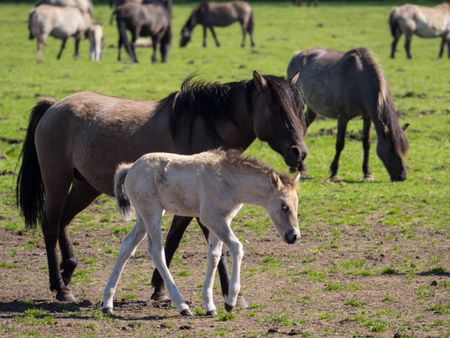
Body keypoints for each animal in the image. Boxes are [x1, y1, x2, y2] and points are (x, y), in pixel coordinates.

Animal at [101, 149, 298, 316]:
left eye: (297, 205)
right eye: (284, 206)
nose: (294, 236)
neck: (228, 180)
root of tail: (130, 168)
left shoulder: (223, 220)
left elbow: (214, 255)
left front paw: (210, 305)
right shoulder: (211, 218)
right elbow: (236, 247)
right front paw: (230, 302)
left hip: (144, 218)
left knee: (127, 245)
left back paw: (107, 304)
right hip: (152, 214)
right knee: (156, 251)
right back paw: (182, 306)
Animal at [286, 47, 410, 182]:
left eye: (404, 150)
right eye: (392, 150)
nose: (402, 176)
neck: (359, 80)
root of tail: (296, 55)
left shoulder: (367, 116)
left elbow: (366, 143)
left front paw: (367, 173)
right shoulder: (343, 117)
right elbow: (340, 144)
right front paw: (334, 173)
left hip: (312, 109)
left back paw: (298, 166)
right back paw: (300, 168)